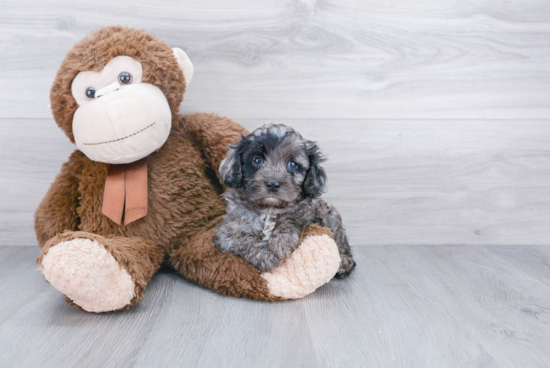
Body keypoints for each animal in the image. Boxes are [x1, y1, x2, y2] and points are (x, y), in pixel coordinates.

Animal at [213, 124, 356, 278]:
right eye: (257, 161)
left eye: (292, 164)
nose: (272, 184)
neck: (269, 209)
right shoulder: (226, 233)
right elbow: (245, 240)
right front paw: (266, 255)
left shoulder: (310, 214)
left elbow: (290, 221)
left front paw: (279, 244)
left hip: (332, 217)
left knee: (341, 241)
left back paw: (344, 262)